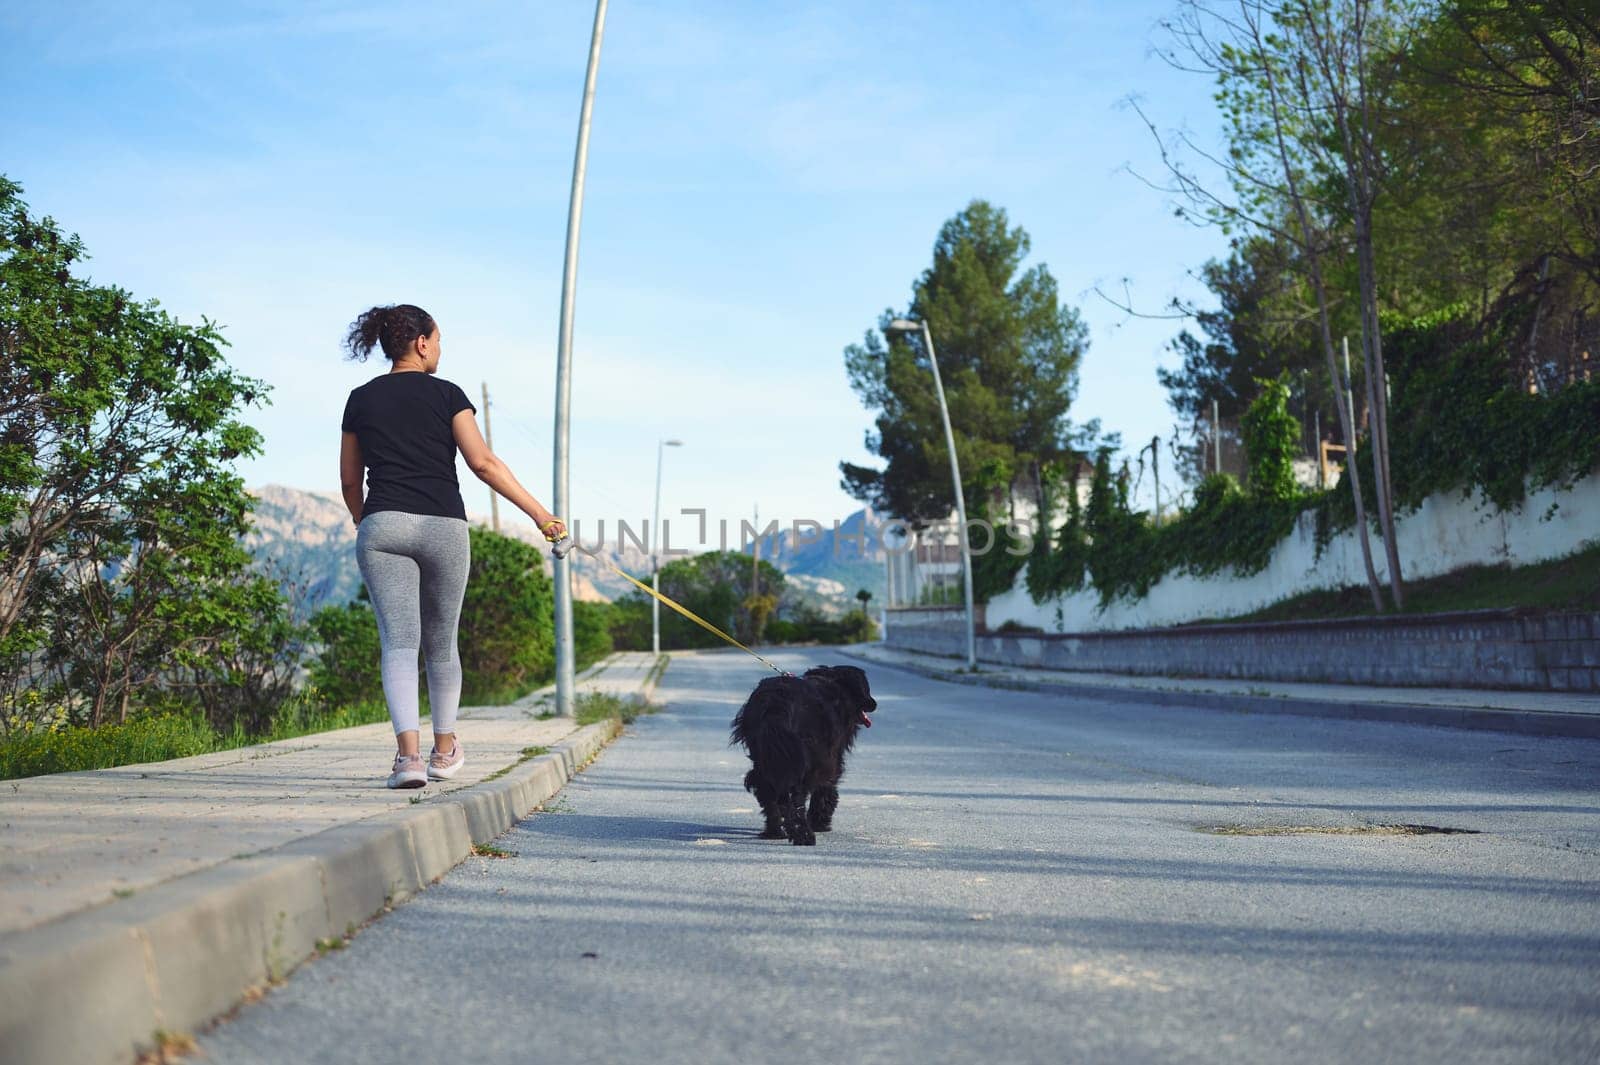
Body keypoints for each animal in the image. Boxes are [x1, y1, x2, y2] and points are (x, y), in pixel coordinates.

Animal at [729, 665, 876, 844]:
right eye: (866, 689)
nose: (874, 703)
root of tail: (775, 704)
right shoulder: (830, 758)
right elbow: (826, 787)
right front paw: (820, 822)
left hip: (769, 757)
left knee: (769, 791)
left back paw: (774, 831)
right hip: (801, 760)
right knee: (796, 798)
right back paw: (804, 835)